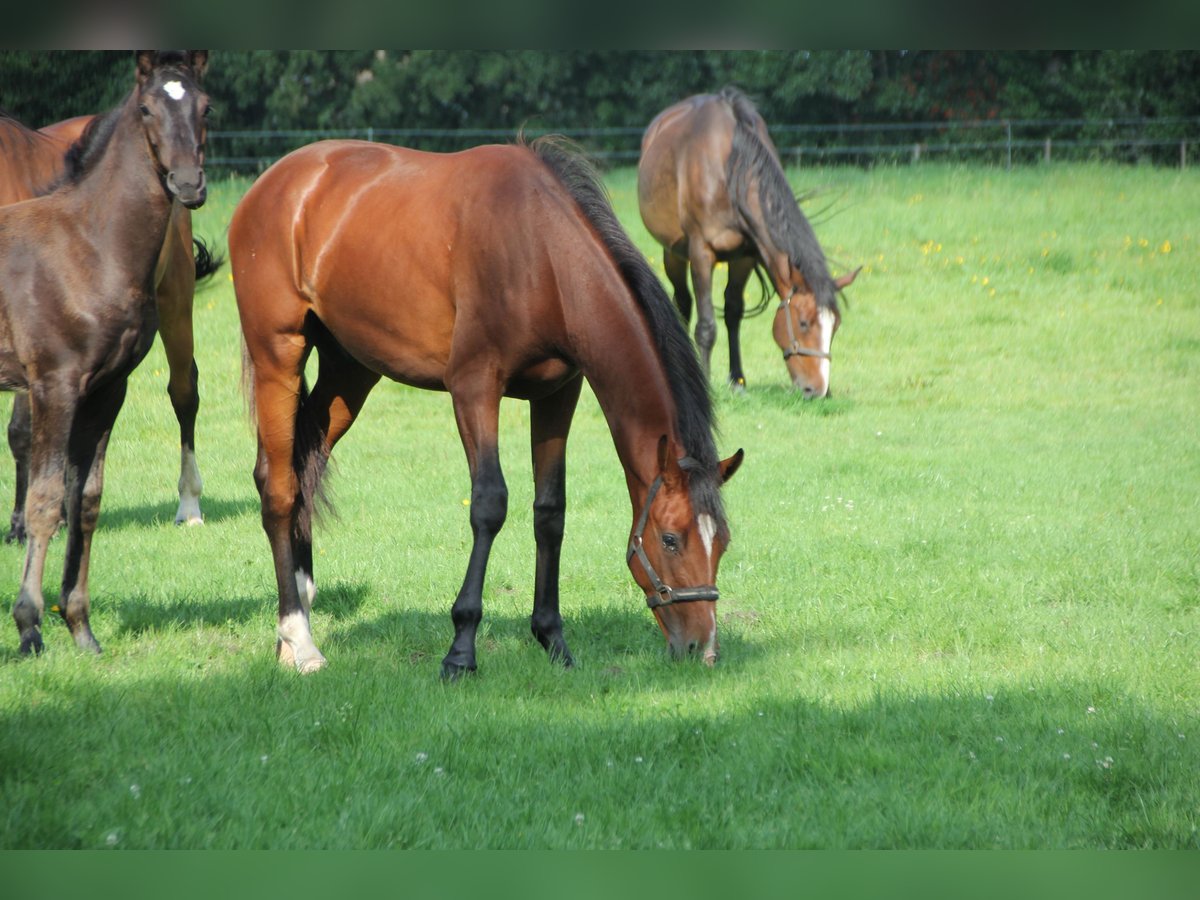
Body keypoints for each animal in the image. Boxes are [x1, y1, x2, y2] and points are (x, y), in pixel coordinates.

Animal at [1, 51, 212, 657]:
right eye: (146, 109)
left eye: (206, 107)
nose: (188, 183)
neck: (88, 246)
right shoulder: (53, 385)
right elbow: (47, 500)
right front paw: (29, 627)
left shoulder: (106, 390)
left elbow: (86, 501)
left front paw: (80, 626)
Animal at [226, 137, 739, 681]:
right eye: (670, 539)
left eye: (722, 542)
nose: (704, 649)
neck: (540, 254)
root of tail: (274, 181)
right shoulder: (474, 388)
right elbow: (489, 504)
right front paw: (461, 650)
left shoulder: (558, 395)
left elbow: (550, 511)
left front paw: (552, 639)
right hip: (278, 355)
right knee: (280, 488)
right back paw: (300, 639)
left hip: (350, 372)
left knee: (305, 469)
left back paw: (294, 625)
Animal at [638, 90, 854, 396]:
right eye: (803, 323)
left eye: (834, 326)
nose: (818, 389)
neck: (729, 171)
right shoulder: (701, 253)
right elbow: (707, 326)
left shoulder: (746, 257)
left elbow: (733, 313)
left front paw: (737, 379)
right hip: (673, 253)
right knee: (682, 302)